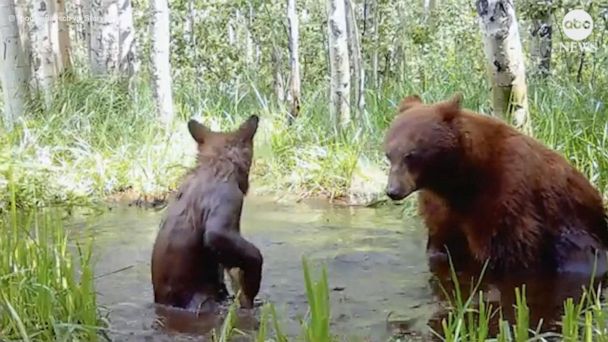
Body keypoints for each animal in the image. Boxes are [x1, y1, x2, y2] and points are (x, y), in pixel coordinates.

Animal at [384, 94, 608, 276]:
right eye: (388, 153)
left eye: (411, 154)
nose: (393, 191)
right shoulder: (441, 205)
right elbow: (441, 242)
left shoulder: (505, 196)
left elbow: (504, 249)